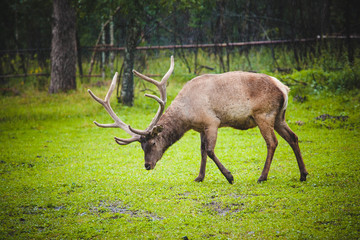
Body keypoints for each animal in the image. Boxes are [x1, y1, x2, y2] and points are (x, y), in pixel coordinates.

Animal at [88, 55, 308, 184]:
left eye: (152, 142)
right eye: (141, 146)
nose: (147, 165)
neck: (187, 115)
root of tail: (284, 88)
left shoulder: (212, 122)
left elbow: (209, 150)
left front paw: (229, 176)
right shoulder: (201, 127)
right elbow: (202, 151)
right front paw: (199, 177)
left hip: (264, 114)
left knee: (272, 142)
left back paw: (262, 177)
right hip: (279, 117)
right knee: (293, 137)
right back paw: (303, 174)